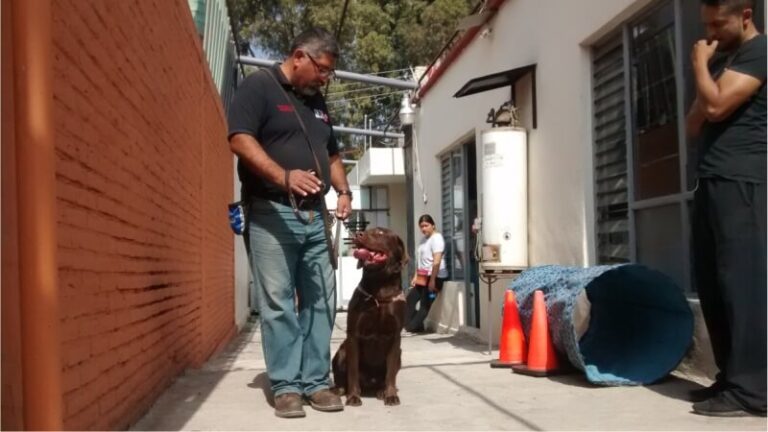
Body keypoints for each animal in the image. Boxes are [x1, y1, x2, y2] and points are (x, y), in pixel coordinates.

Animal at [332, 228, 412, 406]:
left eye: (381, 233)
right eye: (366, 231)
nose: (358, 235)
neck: (379, 290)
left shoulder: (395, 337)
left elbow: (390, 372)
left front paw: (391, 395)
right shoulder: (353, 335)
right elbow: (353, 371)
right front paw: (353, 396)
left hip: (400, 354)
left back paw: (382, 391)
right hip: (341, 351)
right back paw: (340, 390)